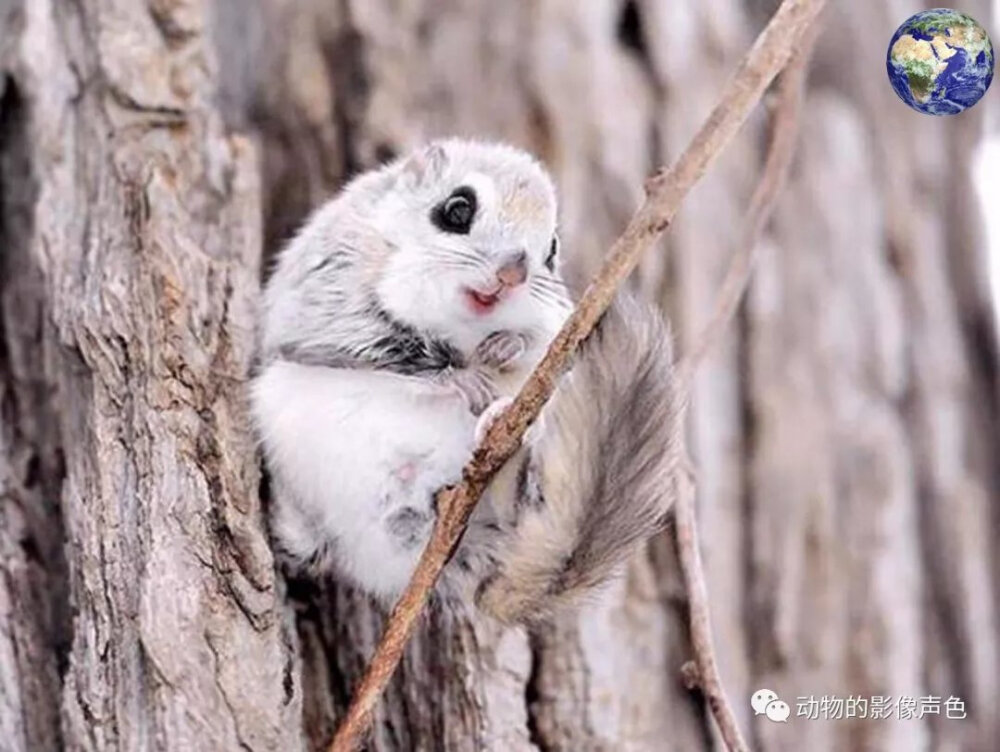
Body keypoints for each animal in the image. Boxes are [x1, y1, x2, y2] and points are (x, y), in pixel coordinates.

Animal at [250, 138, 680, 624]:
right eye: (457, 210)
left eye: (551, 250)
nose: (514, 273)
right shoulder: (328, 294)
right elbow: (378, 343)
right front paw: (463, 377)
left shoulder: (556, 324)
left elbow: (540, 346)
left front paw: (507, 346)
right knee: (308, 545)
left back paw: (502, 429)